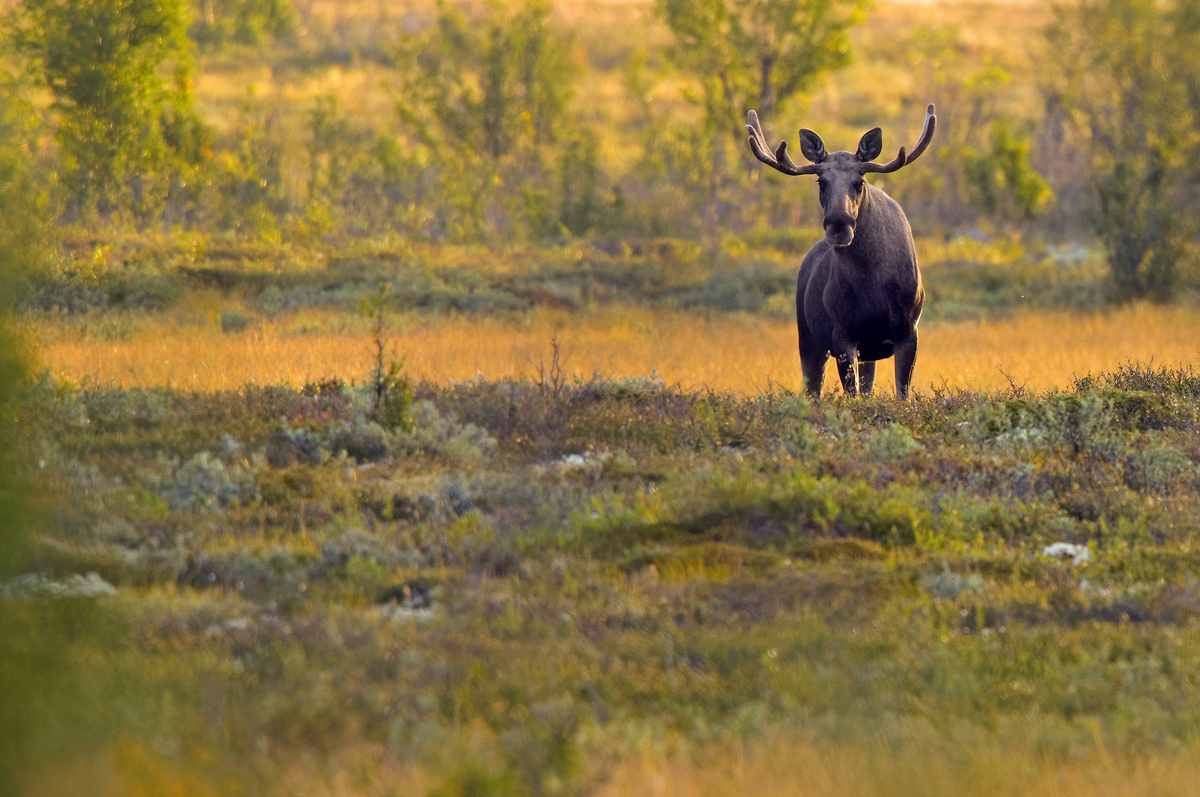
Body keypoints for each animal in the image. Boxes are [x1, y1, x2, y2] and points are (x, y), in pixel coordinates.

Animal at [744, 104, 931, 398]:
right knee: (813, 391)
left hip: (866, 353)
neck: (873, 283)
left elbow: (902, 395)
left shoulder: (908, 331)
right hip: (808, 339)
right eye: (821, 181)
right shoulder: (842, 334)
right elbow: (852, 396)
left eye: (859, 182)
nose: (839, 225)